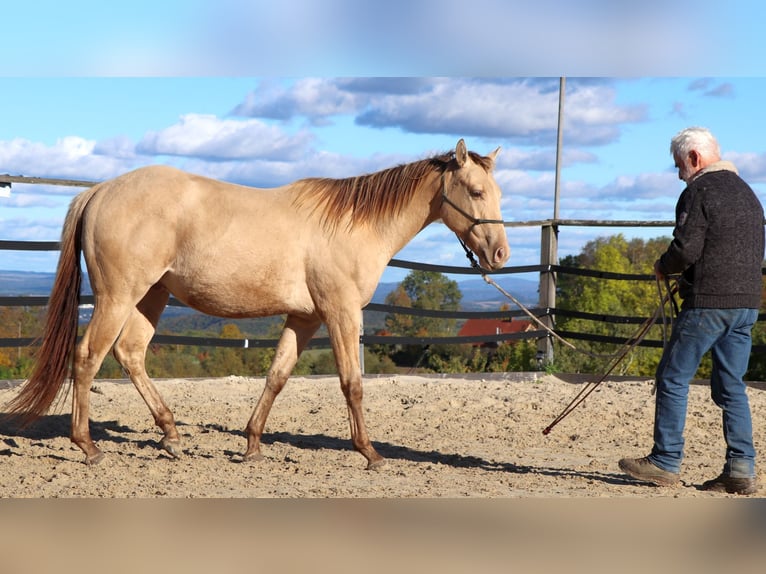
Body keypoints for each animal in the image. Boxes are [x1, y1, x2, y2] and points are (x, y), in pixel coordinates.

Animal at [5, 138, 509, 469]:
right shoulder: (341, 313)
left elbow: (277, 376)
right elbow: (352, 383)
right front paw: (370, 453)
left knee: (130, 354)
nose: (500, 254)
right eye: (476, 192)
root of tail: (100, 190)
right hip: (118, 295)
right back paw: (88, 446)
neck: (351, 224)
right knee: (89, 356)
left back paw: (171, 436)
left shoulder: (304, 318)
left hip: (152, 296)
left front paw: (251, 445)